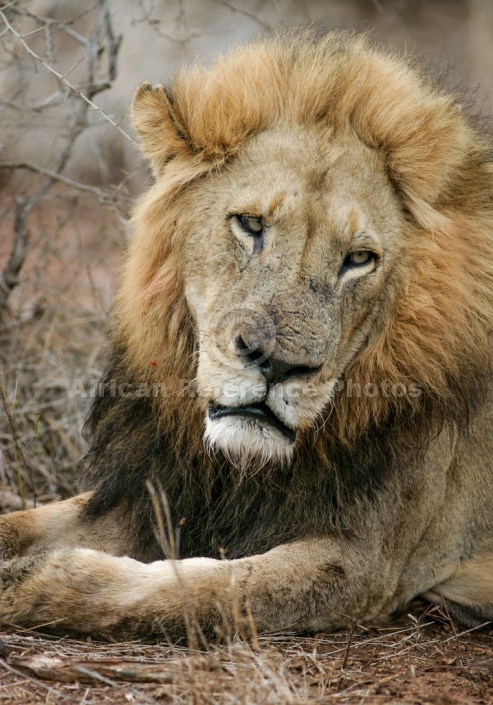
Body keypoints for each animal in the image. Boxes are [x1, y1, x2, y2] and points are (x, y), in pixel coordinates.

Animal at [0, 30, 492, 640]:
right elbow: (25, 521)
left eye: (359, 259)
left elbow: (207, 588)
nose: (277, 365)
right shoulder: (159, 489)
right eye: (251, 224)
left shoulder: (367, 563)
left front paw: (36, 584)